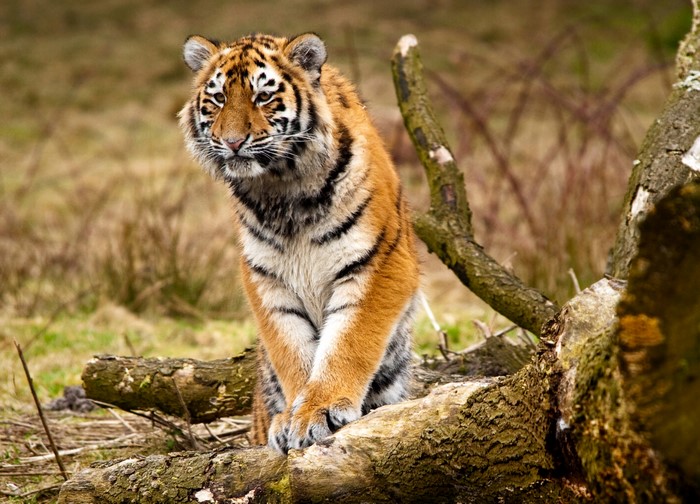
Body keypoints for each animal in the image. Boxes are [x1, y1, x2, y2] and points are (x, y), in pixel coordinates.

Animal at [178, 32, 420, 453]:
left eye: (262, 97)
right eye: (219, 98)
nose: (233, 142)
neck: (282, 188)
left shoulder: (378, 262)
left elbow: (348, 342)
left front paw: (319, 410)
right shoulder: (265, 277)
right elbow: (291, 350)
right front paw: (293, 416)